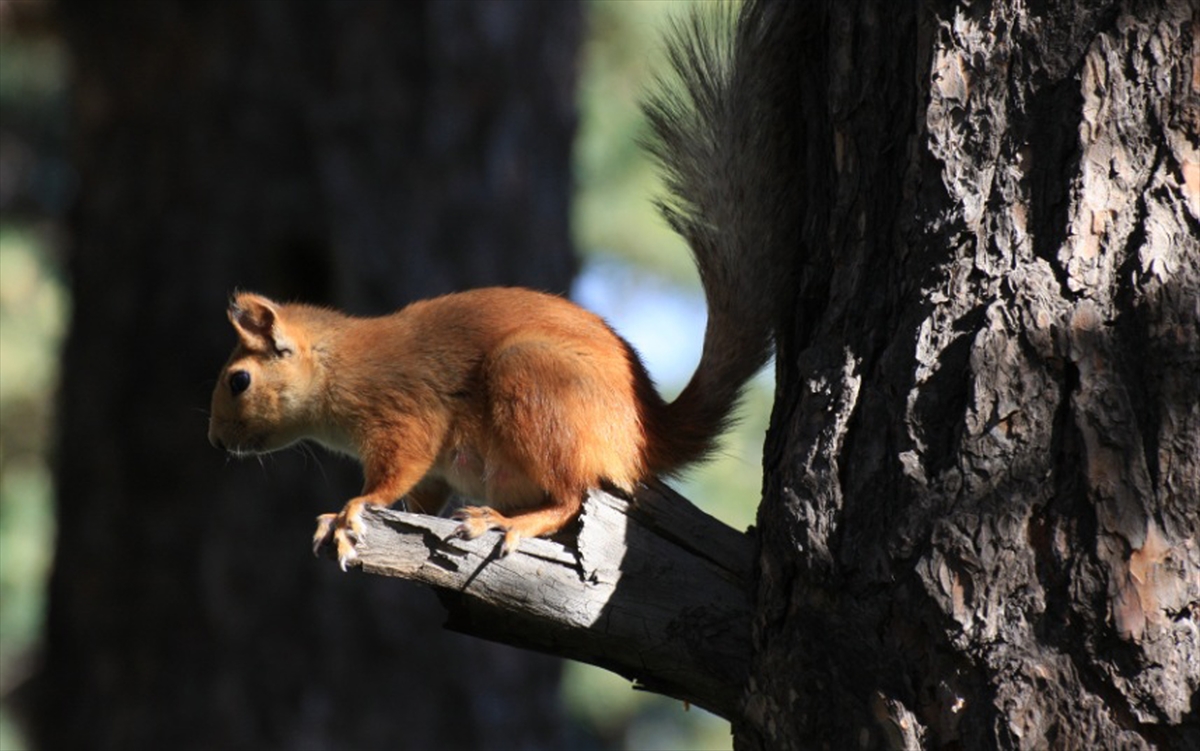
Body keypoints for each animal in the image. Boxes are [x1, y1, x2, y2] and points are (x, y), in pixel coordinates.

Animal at [208, 0, 796, 563]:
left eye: (239, 380)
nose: (214, 442)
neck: (340, 364)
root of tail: (645, 433)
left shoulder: (403, 411)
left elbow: (394, 473)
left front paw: (353, 507)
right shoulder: (435, 472)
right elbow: (419, 496)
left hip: (534, 381)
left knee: (571, 497)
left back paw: (509, 523)